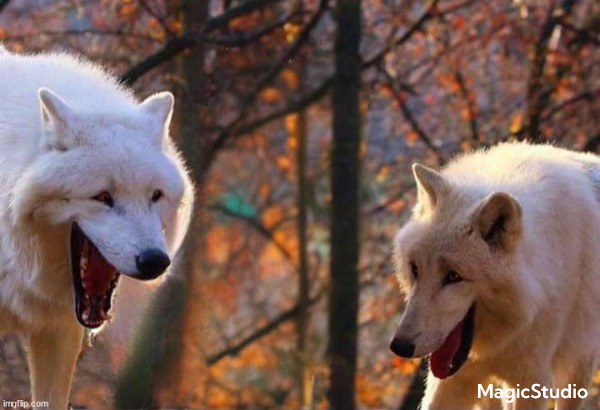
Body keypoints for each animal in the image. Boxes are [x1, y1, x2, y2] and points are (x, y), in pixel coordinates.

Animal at [392, 142, 600, 410]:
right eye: (415, 269)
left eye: (454, 276)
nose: (400, 346)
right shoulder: (454, 378)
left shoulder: (532, 380)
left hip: (577, 366)